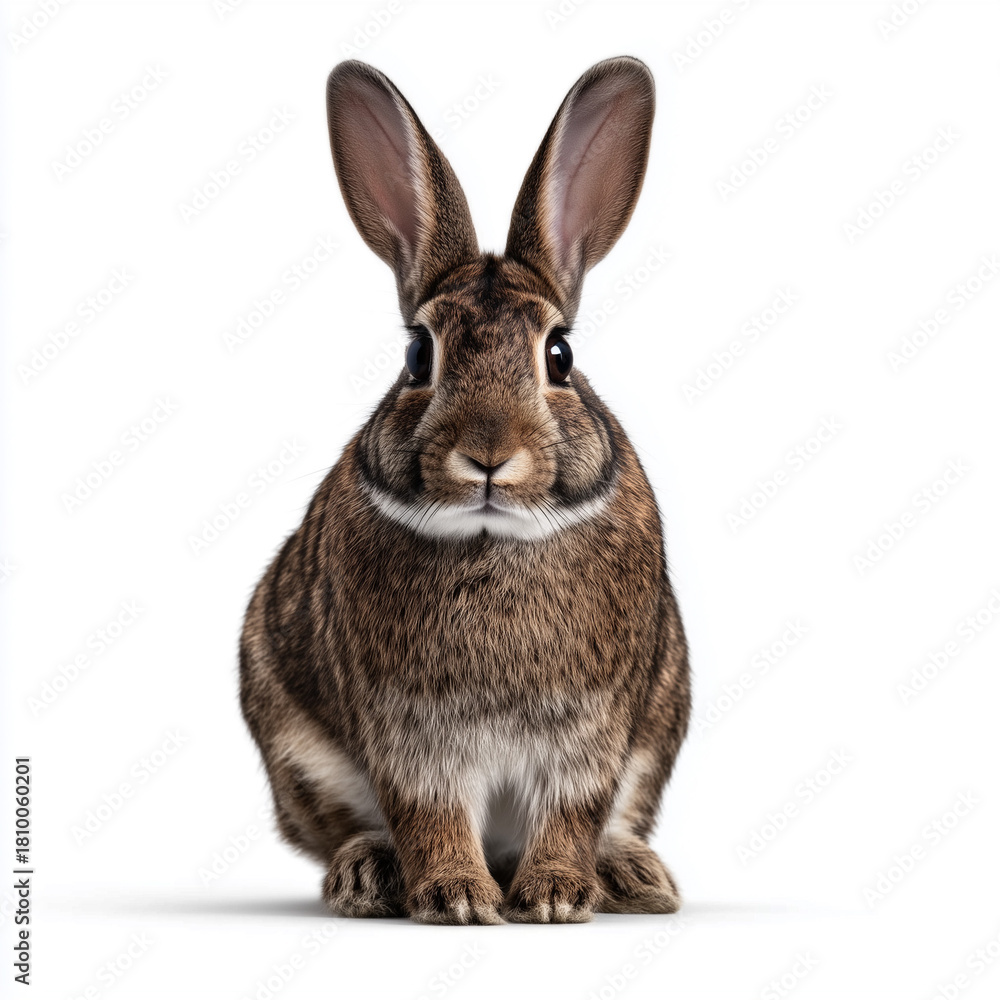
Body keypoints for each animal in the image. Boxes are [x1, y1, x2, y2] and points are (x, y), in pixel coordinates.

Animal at [239, 55, 691, 925]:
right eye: (419, 354)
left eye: (559, 354)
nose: (488, 455)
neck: (493, 540)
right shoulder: (411, 739)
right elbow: (430, 811)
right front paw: (455, 897)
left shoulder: (592, 735)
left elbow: (573, 809)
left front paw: (554, 896)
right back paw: (368, 874)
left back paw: (631, 876)